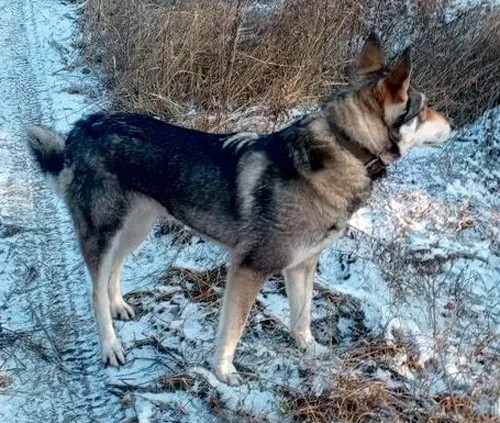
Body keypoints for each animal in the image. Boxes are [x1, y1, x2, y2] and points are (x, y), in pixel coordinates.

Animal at [27, 33, 451, 385]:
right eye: (426, 107)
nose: (452, 123)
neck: (346, 148)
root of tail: (82, 127)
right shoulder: (250, 268)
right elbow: (234, 327)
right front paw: (223, 371)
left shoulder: (302, 265)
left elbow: (302, 318)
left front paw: (310, 350)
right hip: (105, 231)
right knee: (95, 290)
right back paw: (110, 345)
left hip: (136, 228)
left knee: (114, 271)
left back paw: (119, 306)